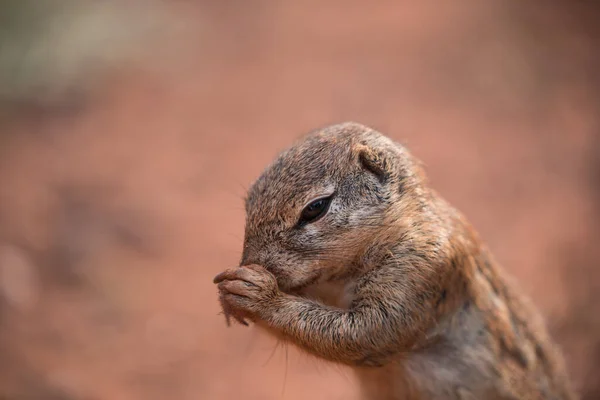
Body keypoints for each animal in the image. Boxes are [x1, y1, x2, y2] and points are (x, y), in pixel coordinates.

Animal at [214, 122, 576, 400]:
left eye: (315, 208)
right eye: (249, 201)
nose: (253, 262)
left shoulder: (423, 268)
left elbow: (365, 333)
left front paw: (258, 294)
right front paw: (229, 297)